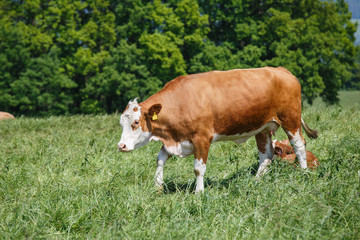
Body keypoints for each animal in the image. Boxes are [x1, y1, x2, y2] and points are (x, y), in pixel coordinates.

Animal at [117, 67, 318, 193]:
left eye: (136, 122)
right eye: (121, 123)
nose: (121, 146)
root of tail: (281, 70)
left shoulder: (202, 138)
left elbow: (198, 169)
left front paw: (199, 192)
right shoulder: (175, 138)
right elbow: (160, 160)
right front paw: (157, 187)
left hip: (290, 118)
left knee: (299, 145)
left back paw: (303, 173)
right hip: (263, 127)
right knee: (266, 155)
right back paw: (255, 181)